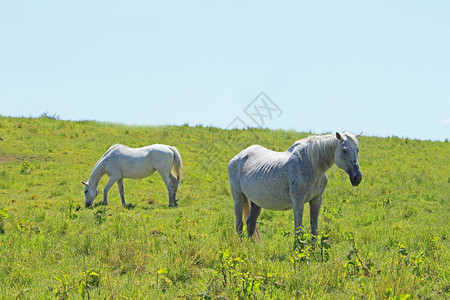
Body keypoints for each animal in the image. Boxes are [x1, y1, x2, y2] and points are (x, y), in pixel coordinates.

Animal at [229, 131, 362, 241]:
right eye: (344, 150)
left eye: (357, 150)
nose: (357, 178)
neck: (311, 165)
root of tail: (238, 157)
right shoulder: (298, 201)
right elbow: (298, 230)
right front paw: (299, 253)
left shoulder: (316, 200)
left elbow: (314, 230)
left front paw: (313, 254)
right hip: (238, 197)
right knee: (239, 224)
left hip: (256, 202)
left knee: (250, 224)